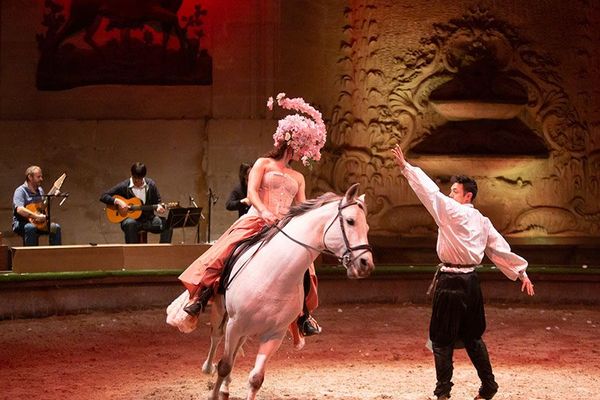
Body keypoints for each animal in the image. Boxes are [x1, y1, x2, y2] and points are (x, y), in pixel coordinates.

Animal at [206, 184, 376, 400]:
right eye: (350, 221)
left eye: (367, 228)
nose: (366, 264)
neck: (274, 274)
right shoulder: (235, 324)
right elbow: (224, 365)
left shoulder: (274, 334)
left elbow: (255, 378)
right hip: (222, 313)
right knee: (216, 337)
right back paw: (207, 368)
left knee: (235, 349)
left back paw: (226, 388)